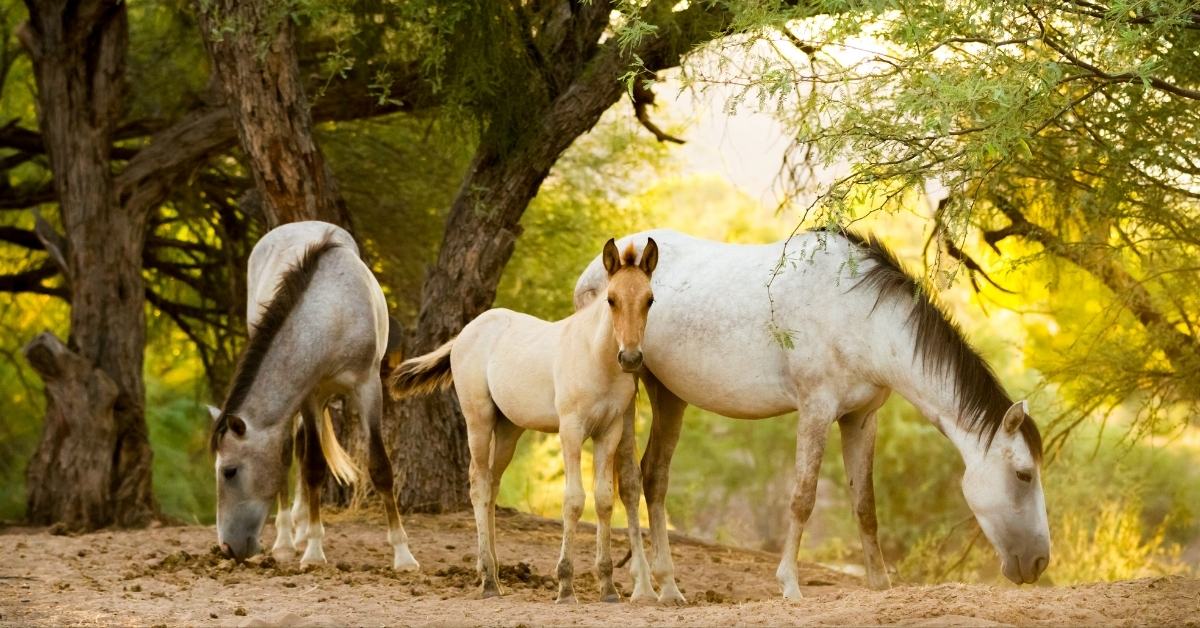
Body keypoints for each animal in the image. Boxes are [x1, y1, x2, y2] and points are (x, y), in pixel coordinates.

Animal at [208, 221, 419, 572]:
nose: (226, 547)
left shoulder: (368, 388)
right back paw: (285, 540)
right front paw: (314, 552)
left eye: (230, 471)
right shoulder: (308, 396)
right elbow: (312, 468)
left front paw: (403, 555)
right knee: (291, 450)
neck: (333, 316)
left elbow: (380, 468)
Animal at [389, 238, 660, 603]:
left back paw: (494, 576)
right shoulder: (571, 430)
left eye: (649, 300)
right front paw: (565, 586)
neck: (596, 358)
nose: (630, 358)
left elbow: (603, 500)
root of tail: (465, 332)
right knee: (478, 483)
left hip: (508, 430)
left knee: (492, 485)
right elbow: (574, 501)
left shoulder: (610, 431)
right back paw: (488, 580)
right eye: (611, 299)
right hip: (478, 420)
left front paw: (608, 587)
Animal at [573, 228, 1049, 602]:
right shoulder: (816, 411)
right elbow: (802, 498)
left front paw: (879, 584)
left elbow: (865, 505)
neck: (862, 317)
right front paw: (789, 584)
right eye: (1024, 474)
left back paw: (669, 587)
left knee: (654, 477)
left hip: (669, 395)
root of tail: (596, 269)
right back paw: (641, 587)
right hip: (629, 386)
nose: (1039, 562)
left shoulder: (861, 418)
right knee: (629, 481)